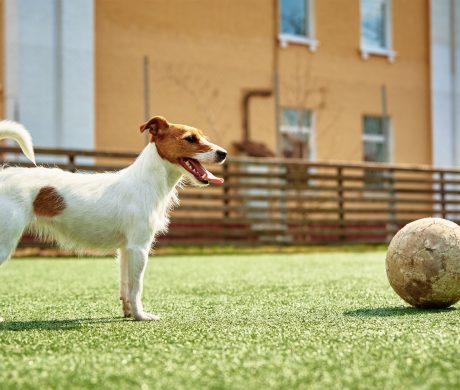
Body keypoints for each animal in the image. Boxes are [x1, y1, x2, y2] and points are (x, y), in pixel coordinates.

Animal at [0, 116, 227, 320]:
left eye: (202, 136)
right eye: (190, 138)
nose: (224, 153)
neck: (146, 181)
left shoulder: (126, 249)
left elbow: (126, 285)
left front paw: (128, 312)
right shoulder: (139, 248)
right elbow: (137, 287)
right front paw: (141, 316)